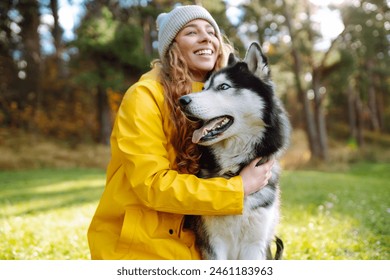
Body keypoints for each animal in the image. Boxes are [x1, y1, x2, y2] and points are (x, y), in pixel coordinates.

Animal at [179, 42, 290, 260]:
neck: (236, 173)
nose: (182, 100)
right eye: (203, 88)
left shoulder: (255, 245)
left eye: (223, 87)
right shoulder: (213, 244)